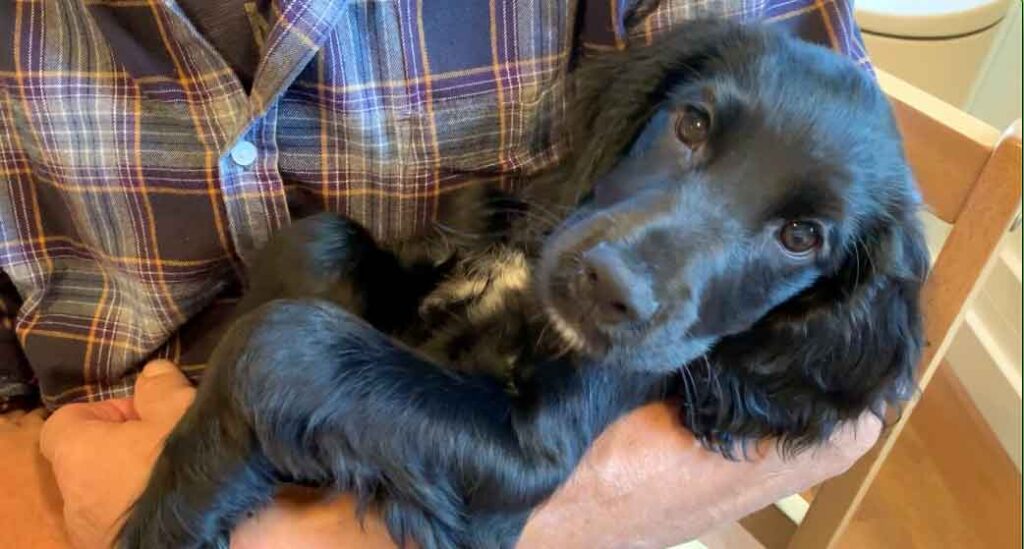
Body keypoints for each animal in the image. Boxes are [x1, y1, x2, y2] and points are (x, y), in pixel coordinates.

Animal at [117, 19, 929, 544]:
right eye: (692, 124)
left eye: (802, 237)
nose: (605, 284)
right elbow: (320, 242)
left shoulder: (529, 452)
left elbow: (286, 343)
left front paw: (173, 516)